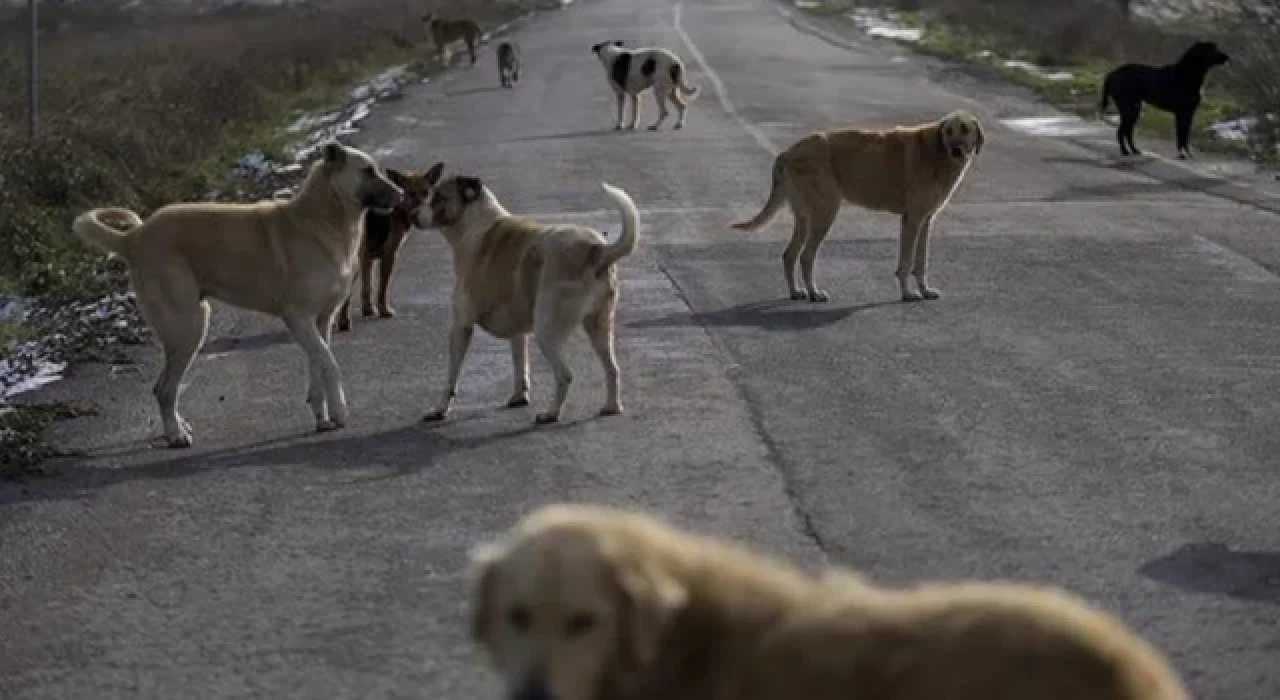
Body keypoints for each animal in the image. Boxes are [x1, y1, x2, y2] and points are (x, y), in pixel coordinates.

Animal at [72, 143, 401, 450]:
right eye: (367, 171)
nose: (400, 196)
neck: (324, 218)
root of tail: (131, 238)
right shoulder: (299, 319)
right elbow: (331, 366)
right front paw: (340, 413)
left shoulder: (320, 321)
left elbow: (318, 367)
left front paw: (323, 417)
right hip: (188, 327)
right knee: (164, 389)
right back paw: (176, 435)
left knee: (166, 387)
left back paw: (179, 427)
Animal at [335, 168, 440, 335]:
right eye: (411, 193)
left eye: (426, 192)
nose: (420, 212)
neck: (398, 209)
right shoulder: (389, 255)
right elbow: (383, 287)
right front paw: (384, 310)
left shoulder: (367, 259)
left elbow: (367, 286)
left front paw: (368, 310)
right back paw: (344, 322)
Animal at [727, 110, 983, 303]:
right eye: (948, 131)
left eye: (964, 129)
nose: (956, 150)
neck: (938, 153)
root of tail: (788, 151)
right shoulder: (913, 220)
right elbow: (906, 262)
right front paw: (908, 294)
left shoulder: (925, 220)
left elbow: (921, 262)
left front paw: (924, 290)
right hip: (825, 214)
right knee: (806, 256)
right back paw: (814, 293)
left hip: (805, 217)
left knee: (789, 255)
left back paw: (796, 292)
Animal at [1100, 39, 1228, 158]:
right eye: (1212, 49)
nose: (1227, 57)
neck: (1187, 74)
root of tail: (1111, 73)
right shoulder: (1183, 113)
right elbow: (1181, 136)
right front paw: (1182, 154)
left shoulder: (1189, 114)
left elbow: (1185, 136)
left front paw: (1187, 154)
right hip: (1130, 109)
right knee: (1122, 132)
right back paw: (1125, 151)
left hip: (1133, 110)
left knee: (1127, 132)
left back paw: (1134, 150)